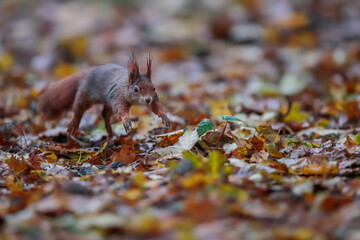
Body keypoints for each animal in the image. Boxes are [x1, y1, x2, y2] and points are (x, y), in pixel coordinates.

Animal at [38, 52, 170, 139]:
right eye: (136, 89)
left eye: (153, 88)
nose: (147, 100)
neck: (125, 86)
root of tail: (87, 74)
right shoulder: (118, 96)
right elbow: (121, 110)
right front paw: (126, 120)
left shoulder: (154, 98)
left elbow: (156, 107)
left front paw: (164, 116)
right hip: (84, 95)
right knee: (78, 110)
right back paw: (74, 124)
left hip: (107, 102)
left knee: (105, 115)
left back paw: (111, 134)